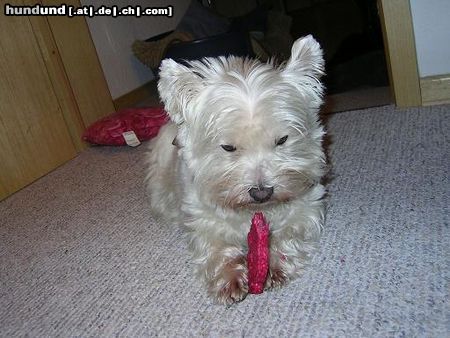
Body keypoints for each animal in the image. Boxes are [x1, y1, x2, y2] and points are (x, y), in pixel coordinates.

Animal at [148, 35, 326, 304]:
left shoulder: (306, 204)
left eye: (282, 139)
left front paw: (276, 264)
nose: (262, 193)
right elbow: (216, 247)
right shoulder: (203, 219)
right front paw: (229, 278)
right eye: (228, 147)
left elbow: (289, 231)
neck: (252, 212)